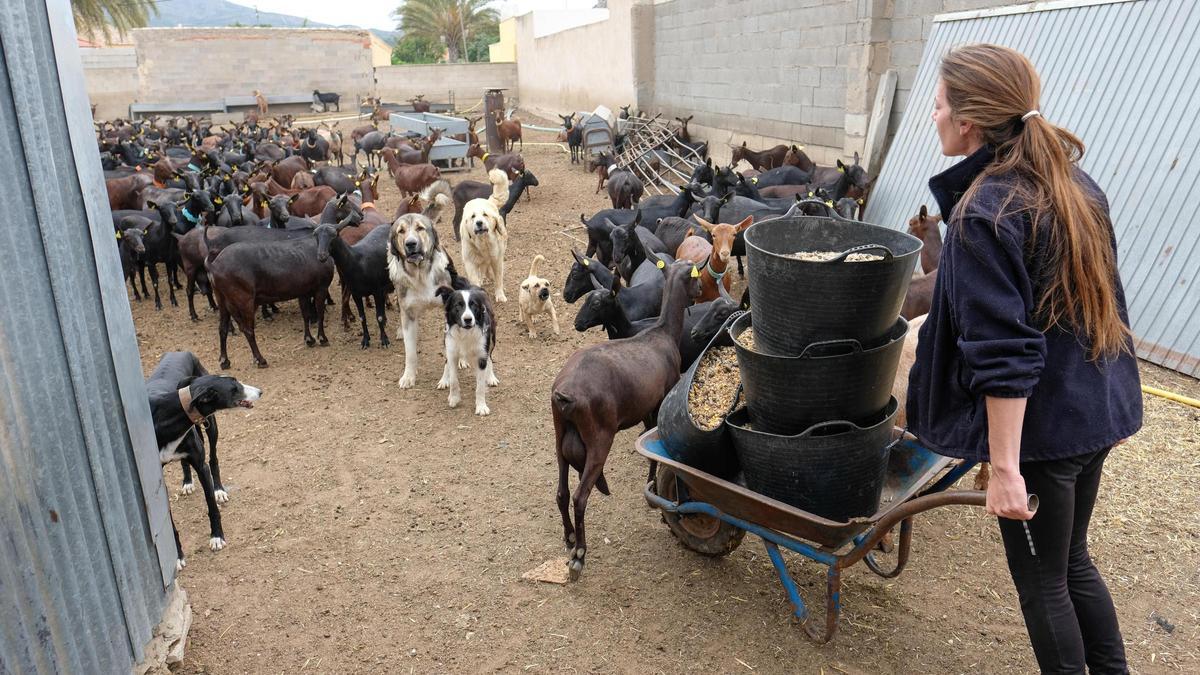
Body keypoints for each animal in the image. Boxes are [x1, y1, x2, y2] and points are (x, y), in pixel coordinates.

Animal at [145, 353, 260, 566]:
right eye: (234, 388)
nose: (260, 391)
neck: (169, 413)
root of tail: (180, 351)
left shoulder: (201, 465)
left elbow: (211, 506)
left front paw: (217, 537)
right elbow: (170, 523)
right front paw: (178, 555)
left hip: (211, 427)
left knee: (213, 459)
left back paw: (219, 490)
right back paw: (187, 481)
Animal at [436, 282, 496, 413]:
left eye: (474, 305)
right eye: (458, 305)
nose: (468, 319)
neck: (465, 333)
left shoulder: (482, 356)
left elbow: (480, 386)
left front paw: (481, 406)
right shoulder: (451, 351)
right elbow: (453, 379)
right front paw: (454, 398)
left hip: (492, 339)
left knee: (490, 357)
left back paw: (491, 377)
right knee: (446, 362)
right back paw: (444, 379)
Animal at [456, 170, 508, 299]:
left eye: (485, 215)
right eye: (473, 216)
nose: (479, 223)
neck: (483, 242)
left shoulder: (497, 259)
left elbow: (498, 279)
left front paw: (500, 295)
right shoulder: (470, 262)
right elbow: (474, 279)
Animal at [549, 260, 700, 576]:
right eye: (695, 276)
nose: (701, 290)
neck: (662, 333)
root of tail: (564, 395)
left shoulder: (645, 410)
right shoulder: (659, 402)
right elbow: (654, 447)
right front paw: (653, 485)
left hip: (559, 439)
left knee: (562, 493)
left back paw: (569, 538)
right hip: (598, 440)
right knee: (580, 497)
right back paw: (580, 554)